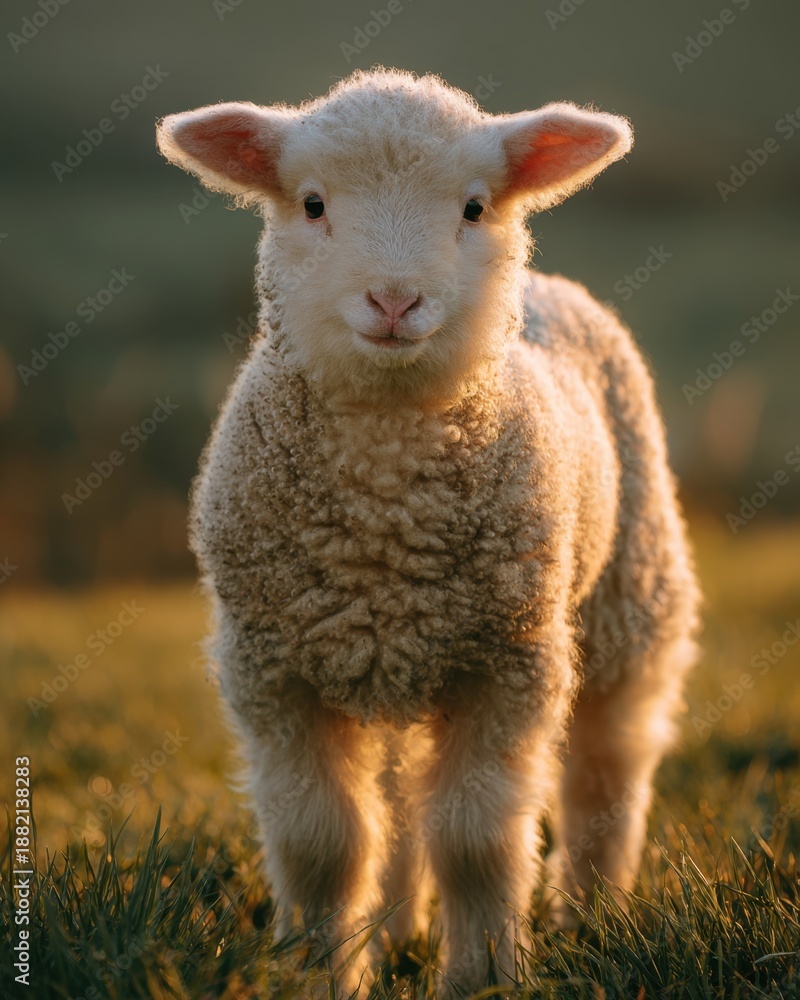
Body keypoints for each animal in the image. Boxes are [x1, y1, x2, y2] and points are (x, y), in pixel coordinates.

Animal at [157, 68, 700, 997]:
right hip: (396, 663)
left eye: (475, 208)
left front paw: (484, 973)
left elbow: (476, 841)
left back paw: (593, 916)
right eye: (312, 204)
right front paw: (320, 971)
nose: (394, 299)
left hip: (631, 595)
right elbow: (324, 844)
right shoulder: (275, 672)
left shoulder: (505, 664)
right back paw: (397, 925)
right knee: (401, 798)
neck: (385, 515)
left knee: (607, 772)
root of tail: (552, 290)